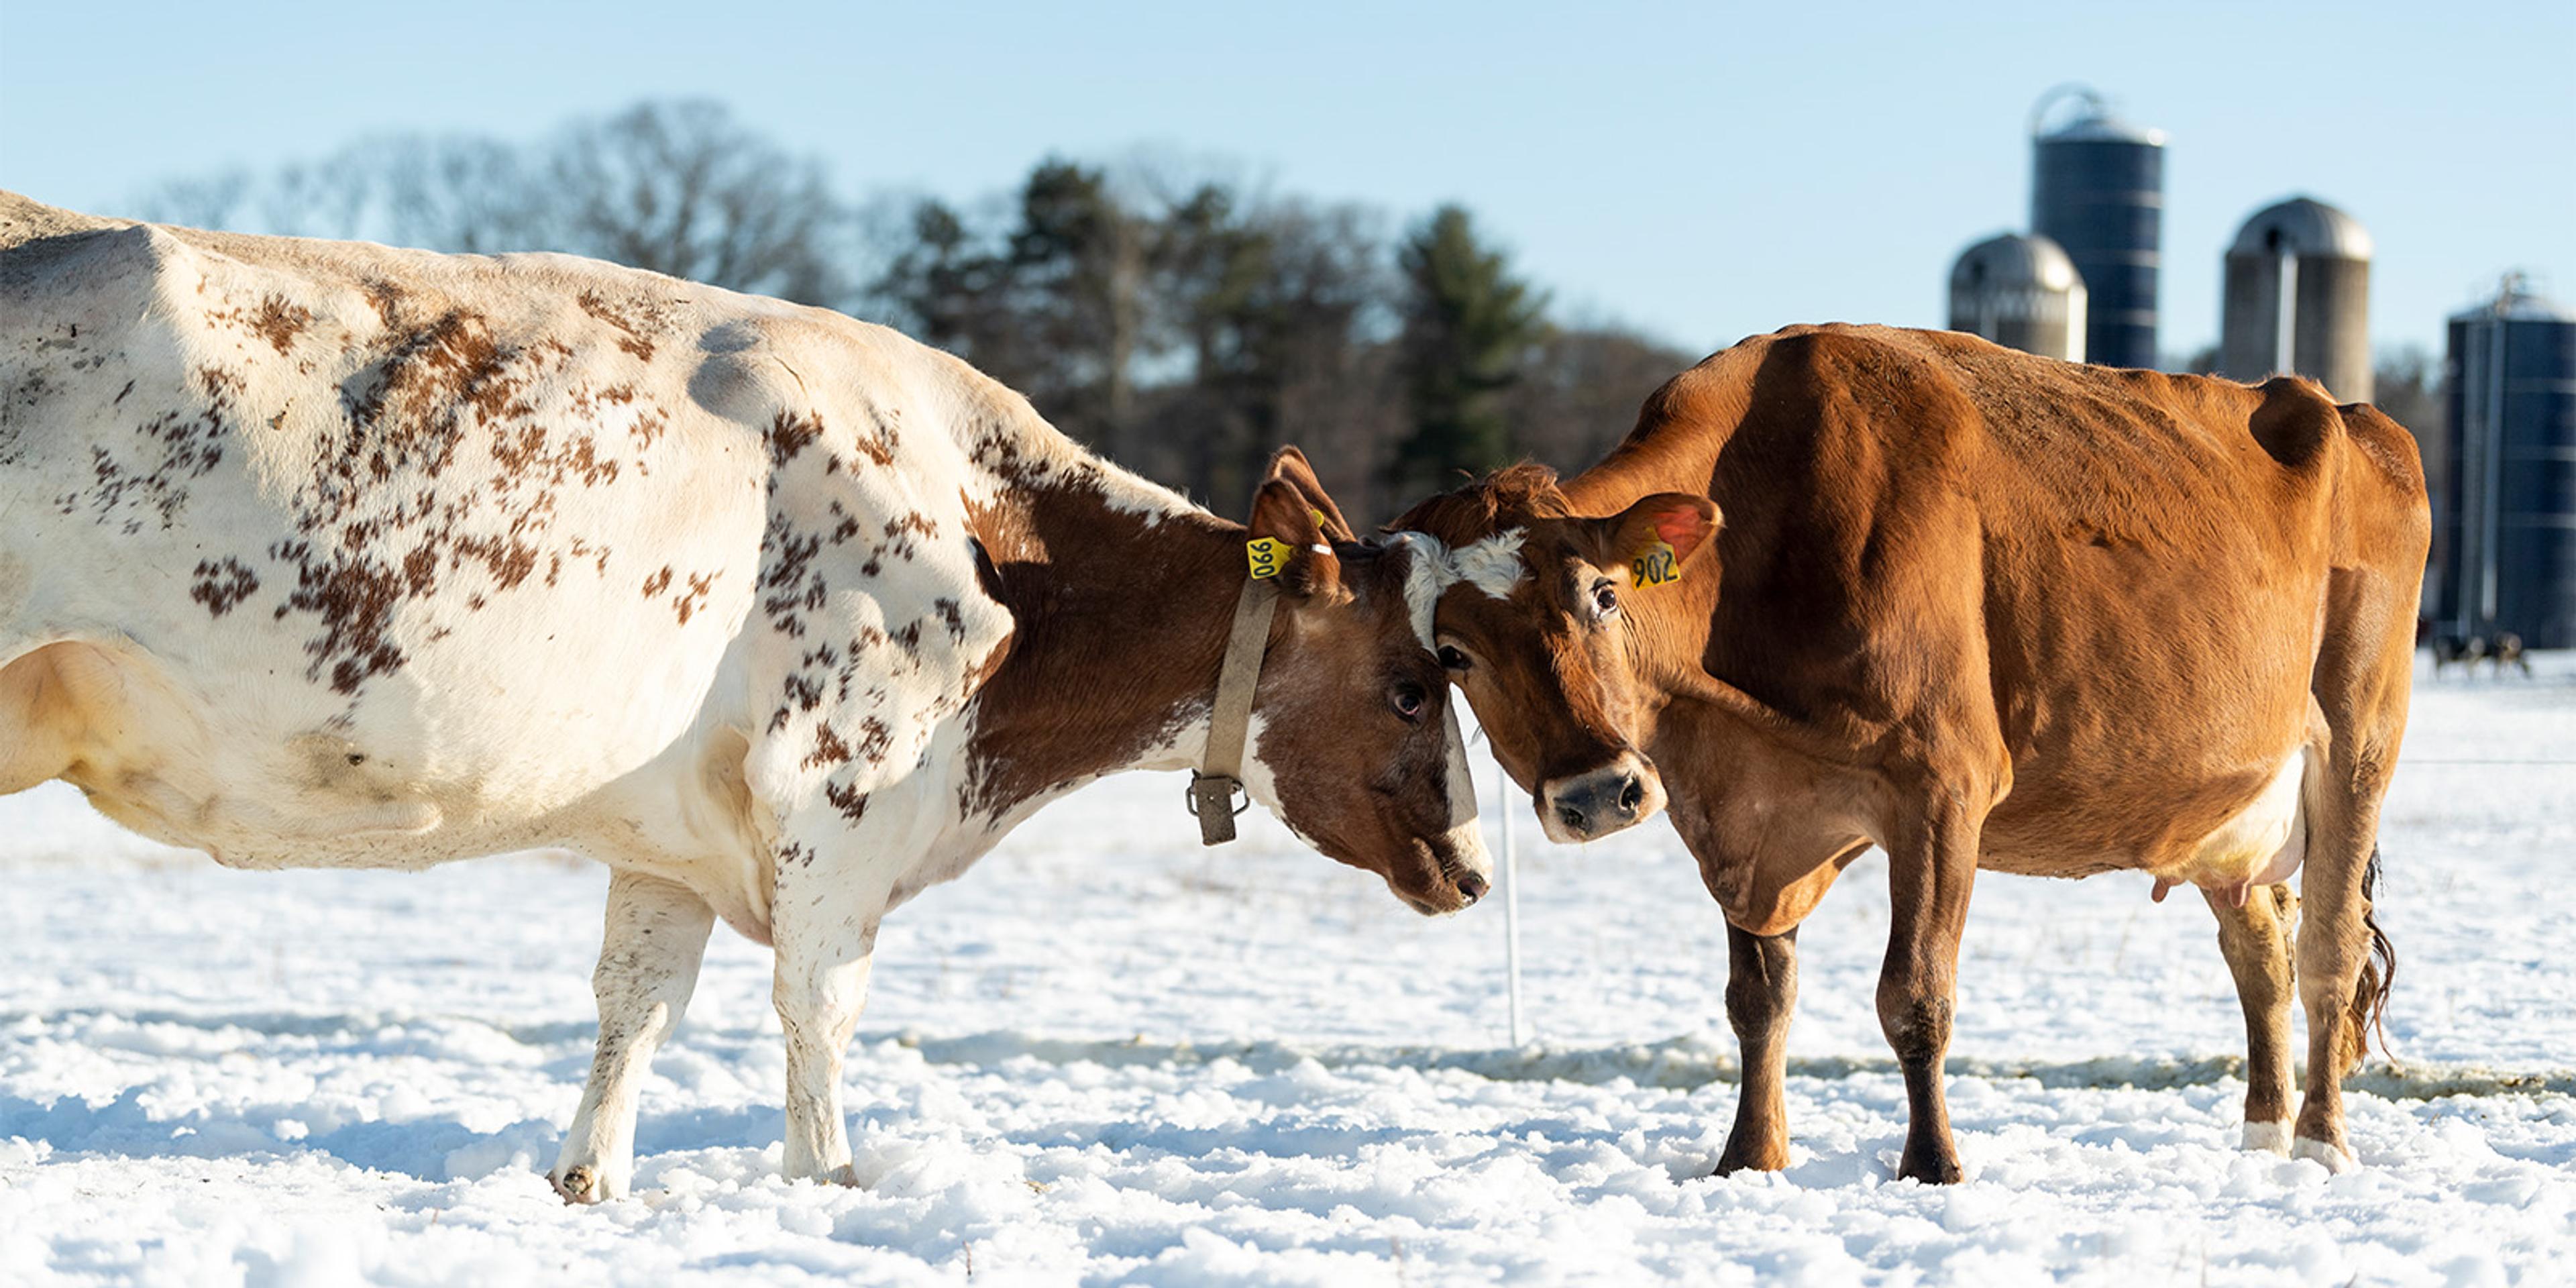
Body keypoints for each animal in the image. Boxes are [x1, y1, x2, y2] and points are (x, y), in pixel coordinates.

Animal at [0, 193, 1491, 1203]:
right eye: (1416, 686)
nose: (1474, 871)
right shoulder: (840, 789)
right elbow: (818, 1011)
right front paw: (829, 1189)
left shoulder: (662, 836)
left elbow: (634, 1007)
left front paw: (589, 1187)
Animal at [1393, 324, 2427, 1182]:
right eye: (1453, 653)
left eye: (1602, 596)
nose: (1598, 794)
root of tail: (2351, 413)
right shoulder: (1739, 817)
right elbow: (1756, 999)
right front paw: (1749, 1160)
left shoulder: (1940, 788)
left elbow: (1915, 998)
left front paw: (1932, 1168)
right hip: (2227, 810)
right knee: (2261, 952)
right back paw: (2263, 1134)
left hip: (2358, 741)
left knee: (2328, 950)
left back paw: (2321, 1143)